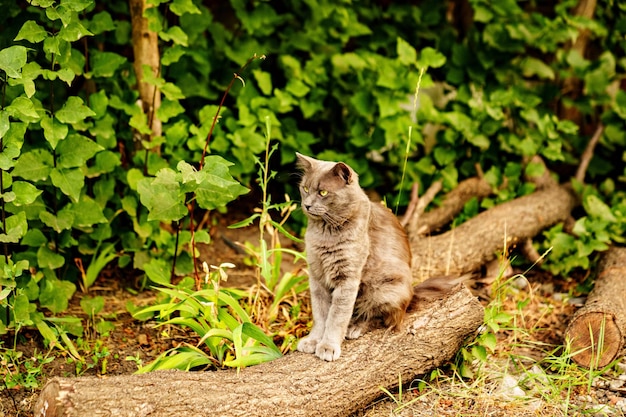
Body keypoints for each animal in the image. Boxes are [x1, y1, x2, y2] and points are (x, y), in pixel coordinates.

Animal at [294, 153, 412, 360]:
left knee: (387, 319)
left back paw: (355, 327)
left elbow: (336, 315)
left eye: (323, 192)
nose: (307, 205)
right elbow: (320, 313)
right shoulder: (316, 276)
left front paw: (328, 346)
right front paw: (313, 341)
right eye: (305, 189)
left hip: (389, 287)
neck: (325, 233)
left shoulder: (347, 277)